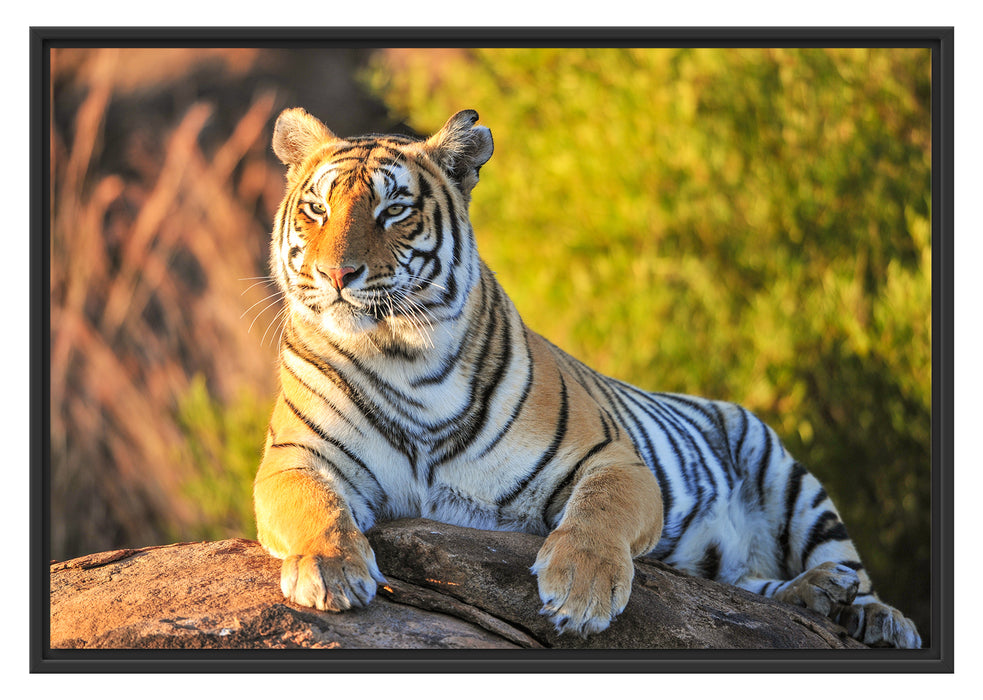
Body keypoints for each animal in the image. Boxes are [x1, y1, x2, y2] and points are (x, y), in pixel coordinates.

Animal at [253, 107, 922, 648]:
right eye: (316, 210)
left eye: (393, 210)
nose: (336, 274)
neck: (402, 358)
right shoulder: (294, 460)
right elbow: (314, 506)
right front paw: (331, 570)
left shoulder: (613, 459)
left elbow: (600, 511)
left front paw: (581, 590)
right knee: (750, 586)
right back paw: (816, 595)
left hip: (788, 477)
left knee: (847, 566)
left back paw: (873, 614)